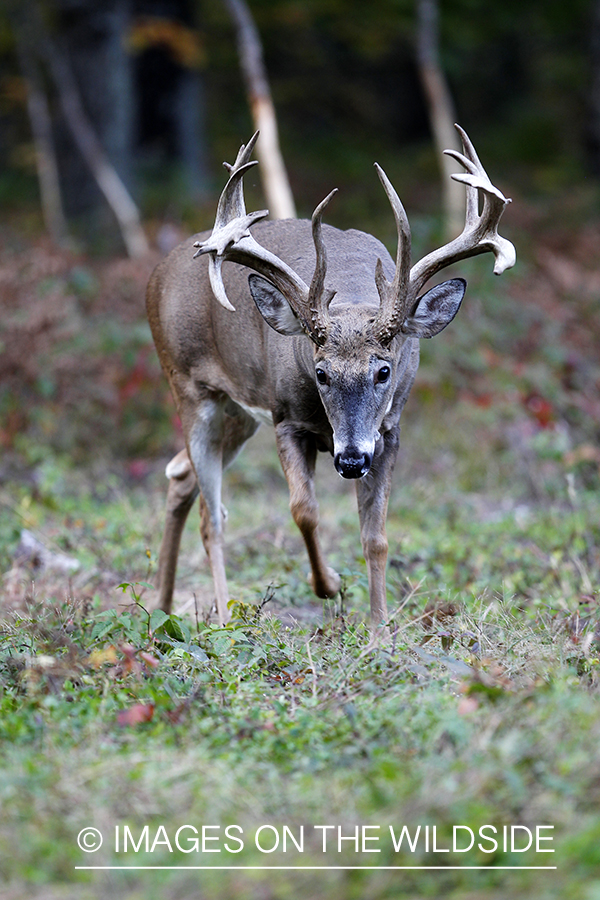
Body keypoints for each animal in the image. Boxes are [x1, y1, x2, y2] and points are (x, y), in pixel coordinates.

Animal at [146, 126, 516, 628]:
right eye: (320, 372)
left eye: (384, 370)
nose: (351, 460)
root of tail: (156, 275)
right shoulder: (285, 418)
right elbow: (304, 511)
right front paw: (330, 584)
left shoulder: (388, 429)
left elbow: (376, 536)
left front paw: (380, 629)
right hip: (189, 387)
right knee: (212, 515)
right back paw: (221, 616)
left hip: (239, 413)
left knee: (181, 477)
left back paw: (162, 608)